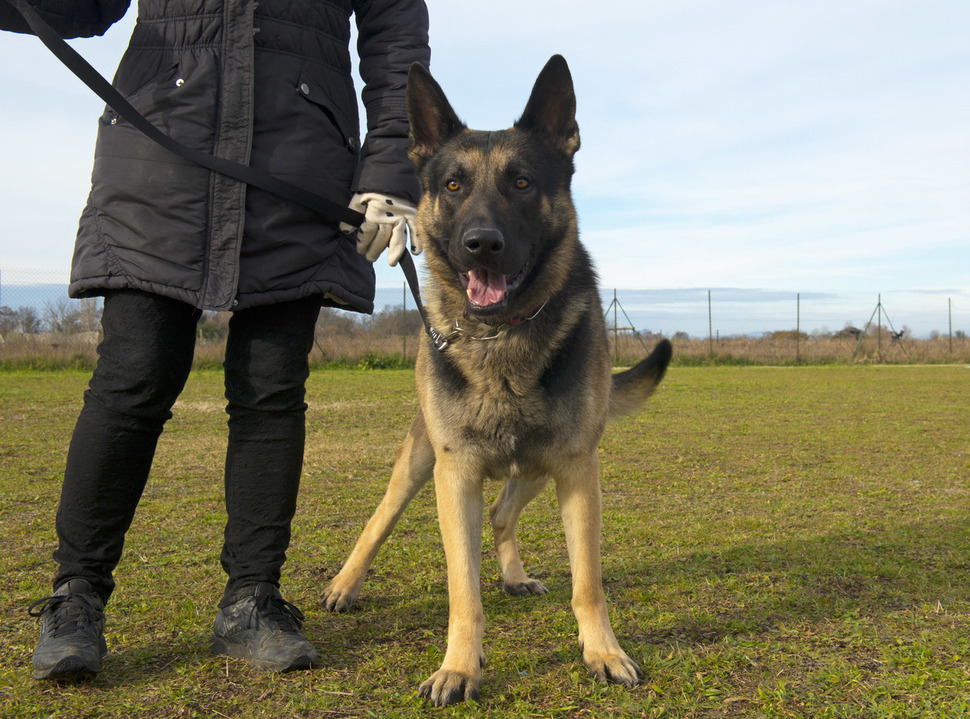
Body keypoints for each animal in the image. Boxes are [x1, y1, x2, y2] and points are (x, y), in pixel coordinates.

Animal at [322, 57, 668, 708]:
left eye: (523, 183)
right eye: (453, 185)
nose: (482, 244)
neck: (501, 337)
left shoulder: (577, 468)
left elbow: (588, 582)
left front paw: (603, 653)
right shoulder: (454, 473)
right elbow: (464, 589)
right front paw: (459, 667)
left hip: (536, 465)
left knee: (504, 516)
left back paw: (513, 576)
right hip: (422, 460)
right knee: (382, 518)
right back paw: (346, 583)